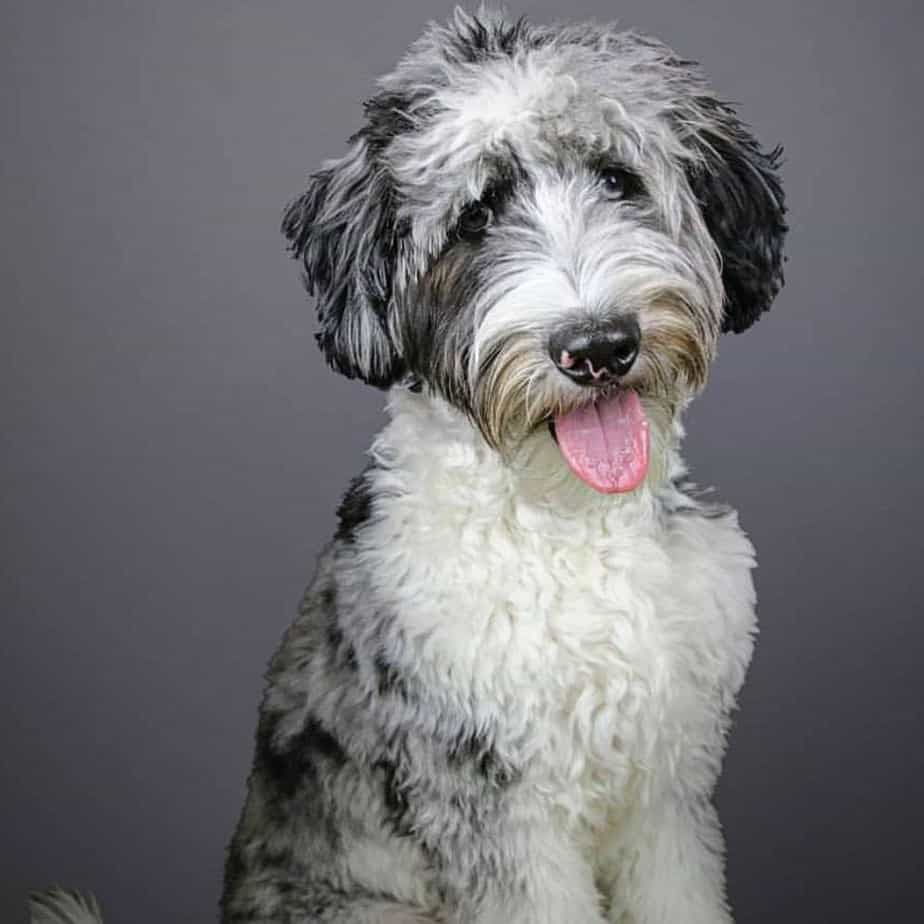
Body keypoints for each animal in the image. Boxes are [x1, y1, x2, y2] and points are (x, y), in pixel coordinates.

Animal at [32, 7, 792, 924]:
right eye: (476, 215)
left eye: (618, 179)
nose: (599, 346)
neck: (567, 522)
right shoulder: (487, 792)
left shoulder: (668, 785)